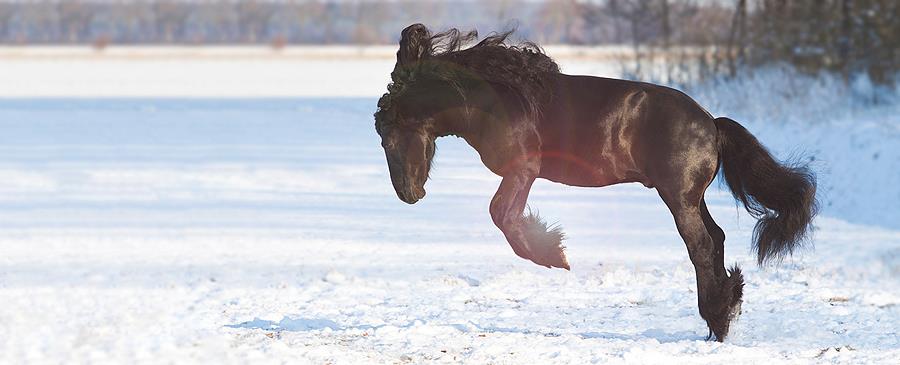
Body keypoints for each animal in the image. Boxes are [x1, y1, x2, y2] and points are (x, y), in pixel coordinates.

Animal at [372, 23, 816, 342]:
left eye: (388, 135)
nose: (409, 194)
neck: (495, 101)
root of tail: (711, 122)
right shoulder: (522, 174)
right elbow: (504, 217)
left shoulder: (523, 169)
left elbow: (503, 216)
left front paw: (554, 253)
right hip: (691, 198)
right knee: (717, 239)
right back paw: (723, 313)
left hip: (679, 199)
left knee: (702, 247)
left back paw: (719, 322)